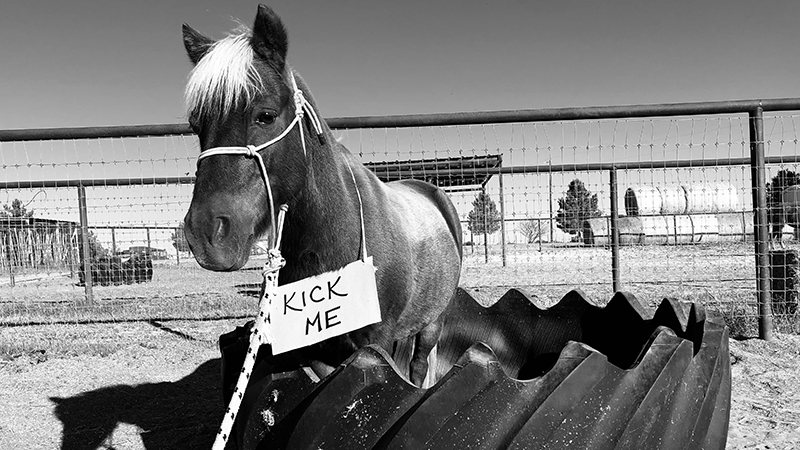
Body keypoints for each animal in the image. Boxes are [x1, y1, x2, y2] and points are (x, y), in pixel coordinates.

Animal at [181, 5, 463, 387]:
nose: (206, 234)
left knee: (419, 367)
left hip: (434, 321)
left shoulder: (378, 340)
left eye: (265, 116)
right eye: (196, 125)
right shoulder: (313, 347)